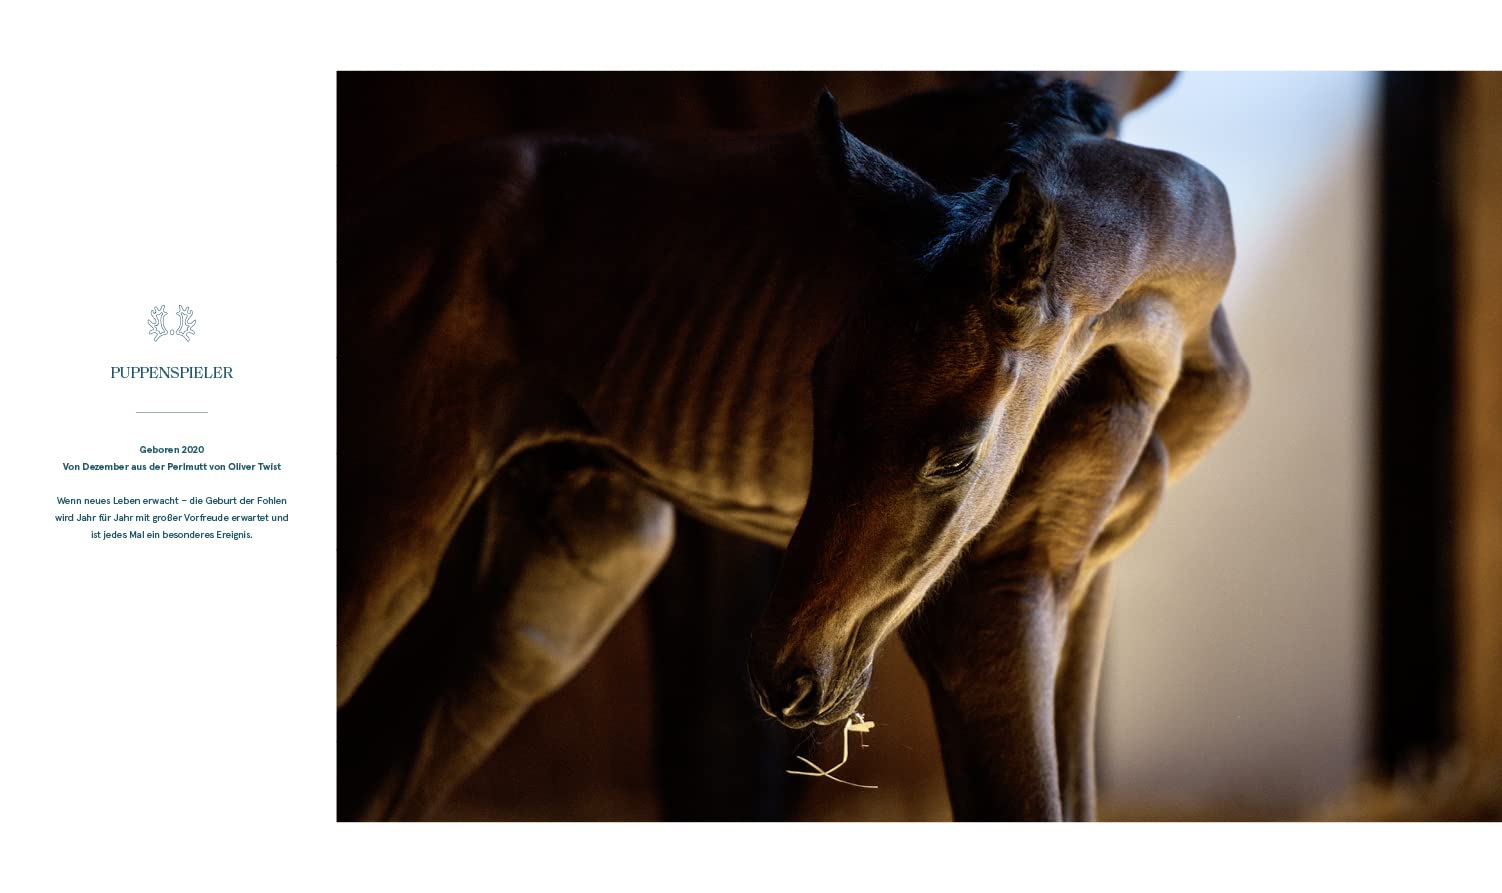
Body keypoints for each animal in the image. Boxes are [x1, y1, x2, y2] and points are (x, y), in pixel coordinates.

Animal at [336, 77, 1249, 821]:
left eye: (956, 454)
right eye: (817, 386)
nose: (785, 681)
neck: (1176, 343)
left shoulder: (1079, 582)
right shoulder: (989, 596)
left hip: (559, 583)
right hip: (390, 537)